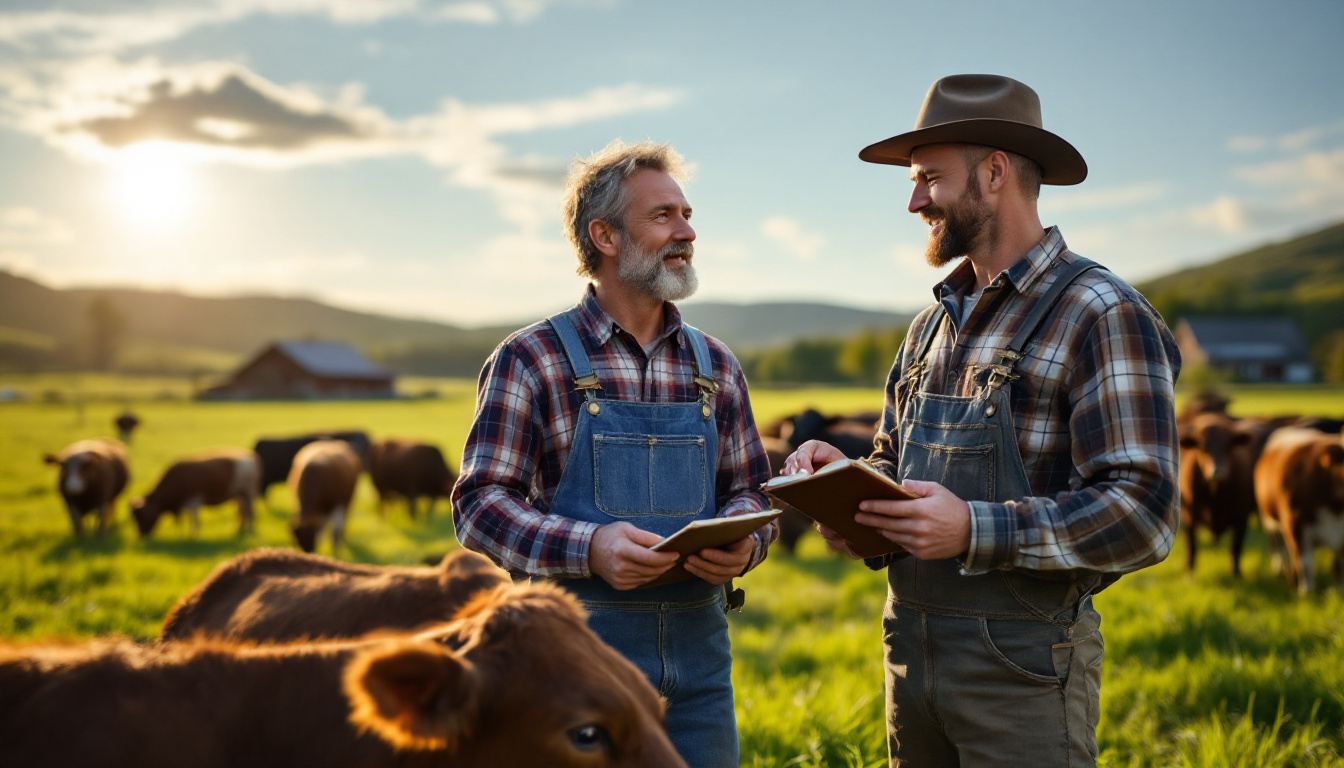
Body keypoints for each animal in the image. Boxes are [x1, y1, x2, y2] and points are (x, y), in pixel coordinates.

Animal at [133, 446, 262, 538]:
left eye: (141, 517)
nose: (141, 536)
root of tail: (251, 456)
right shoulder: (183, 505)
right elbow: (185, 520)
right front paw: (184, 535)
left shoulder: (193, 501)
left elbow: (194, 520)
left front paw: (192, 535)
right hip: (240, 494)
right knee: (244, 512)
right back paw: (241, 531)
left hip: (248, 491)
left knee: (250, 511)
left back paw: (249, 529)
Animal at [1177, 414, 1257, 575]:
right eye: (1203, 447)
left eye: (1229, 446)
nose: (1218, 471)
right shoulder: (1188, 516)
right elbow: (1192, 545)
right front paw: (1190, 572)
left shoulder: (1242, 516)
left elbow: (1236, 546)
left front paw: (1236, 573)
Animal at [1247, 430, 1344, 591]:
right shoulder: (1295, 526)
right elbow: (1305, 563)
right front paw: (1306, 591)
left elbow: (1338, 565)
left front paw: (1338, 590)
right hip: (1269, 521)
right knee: (1281, 549)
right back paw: (1283, 572)